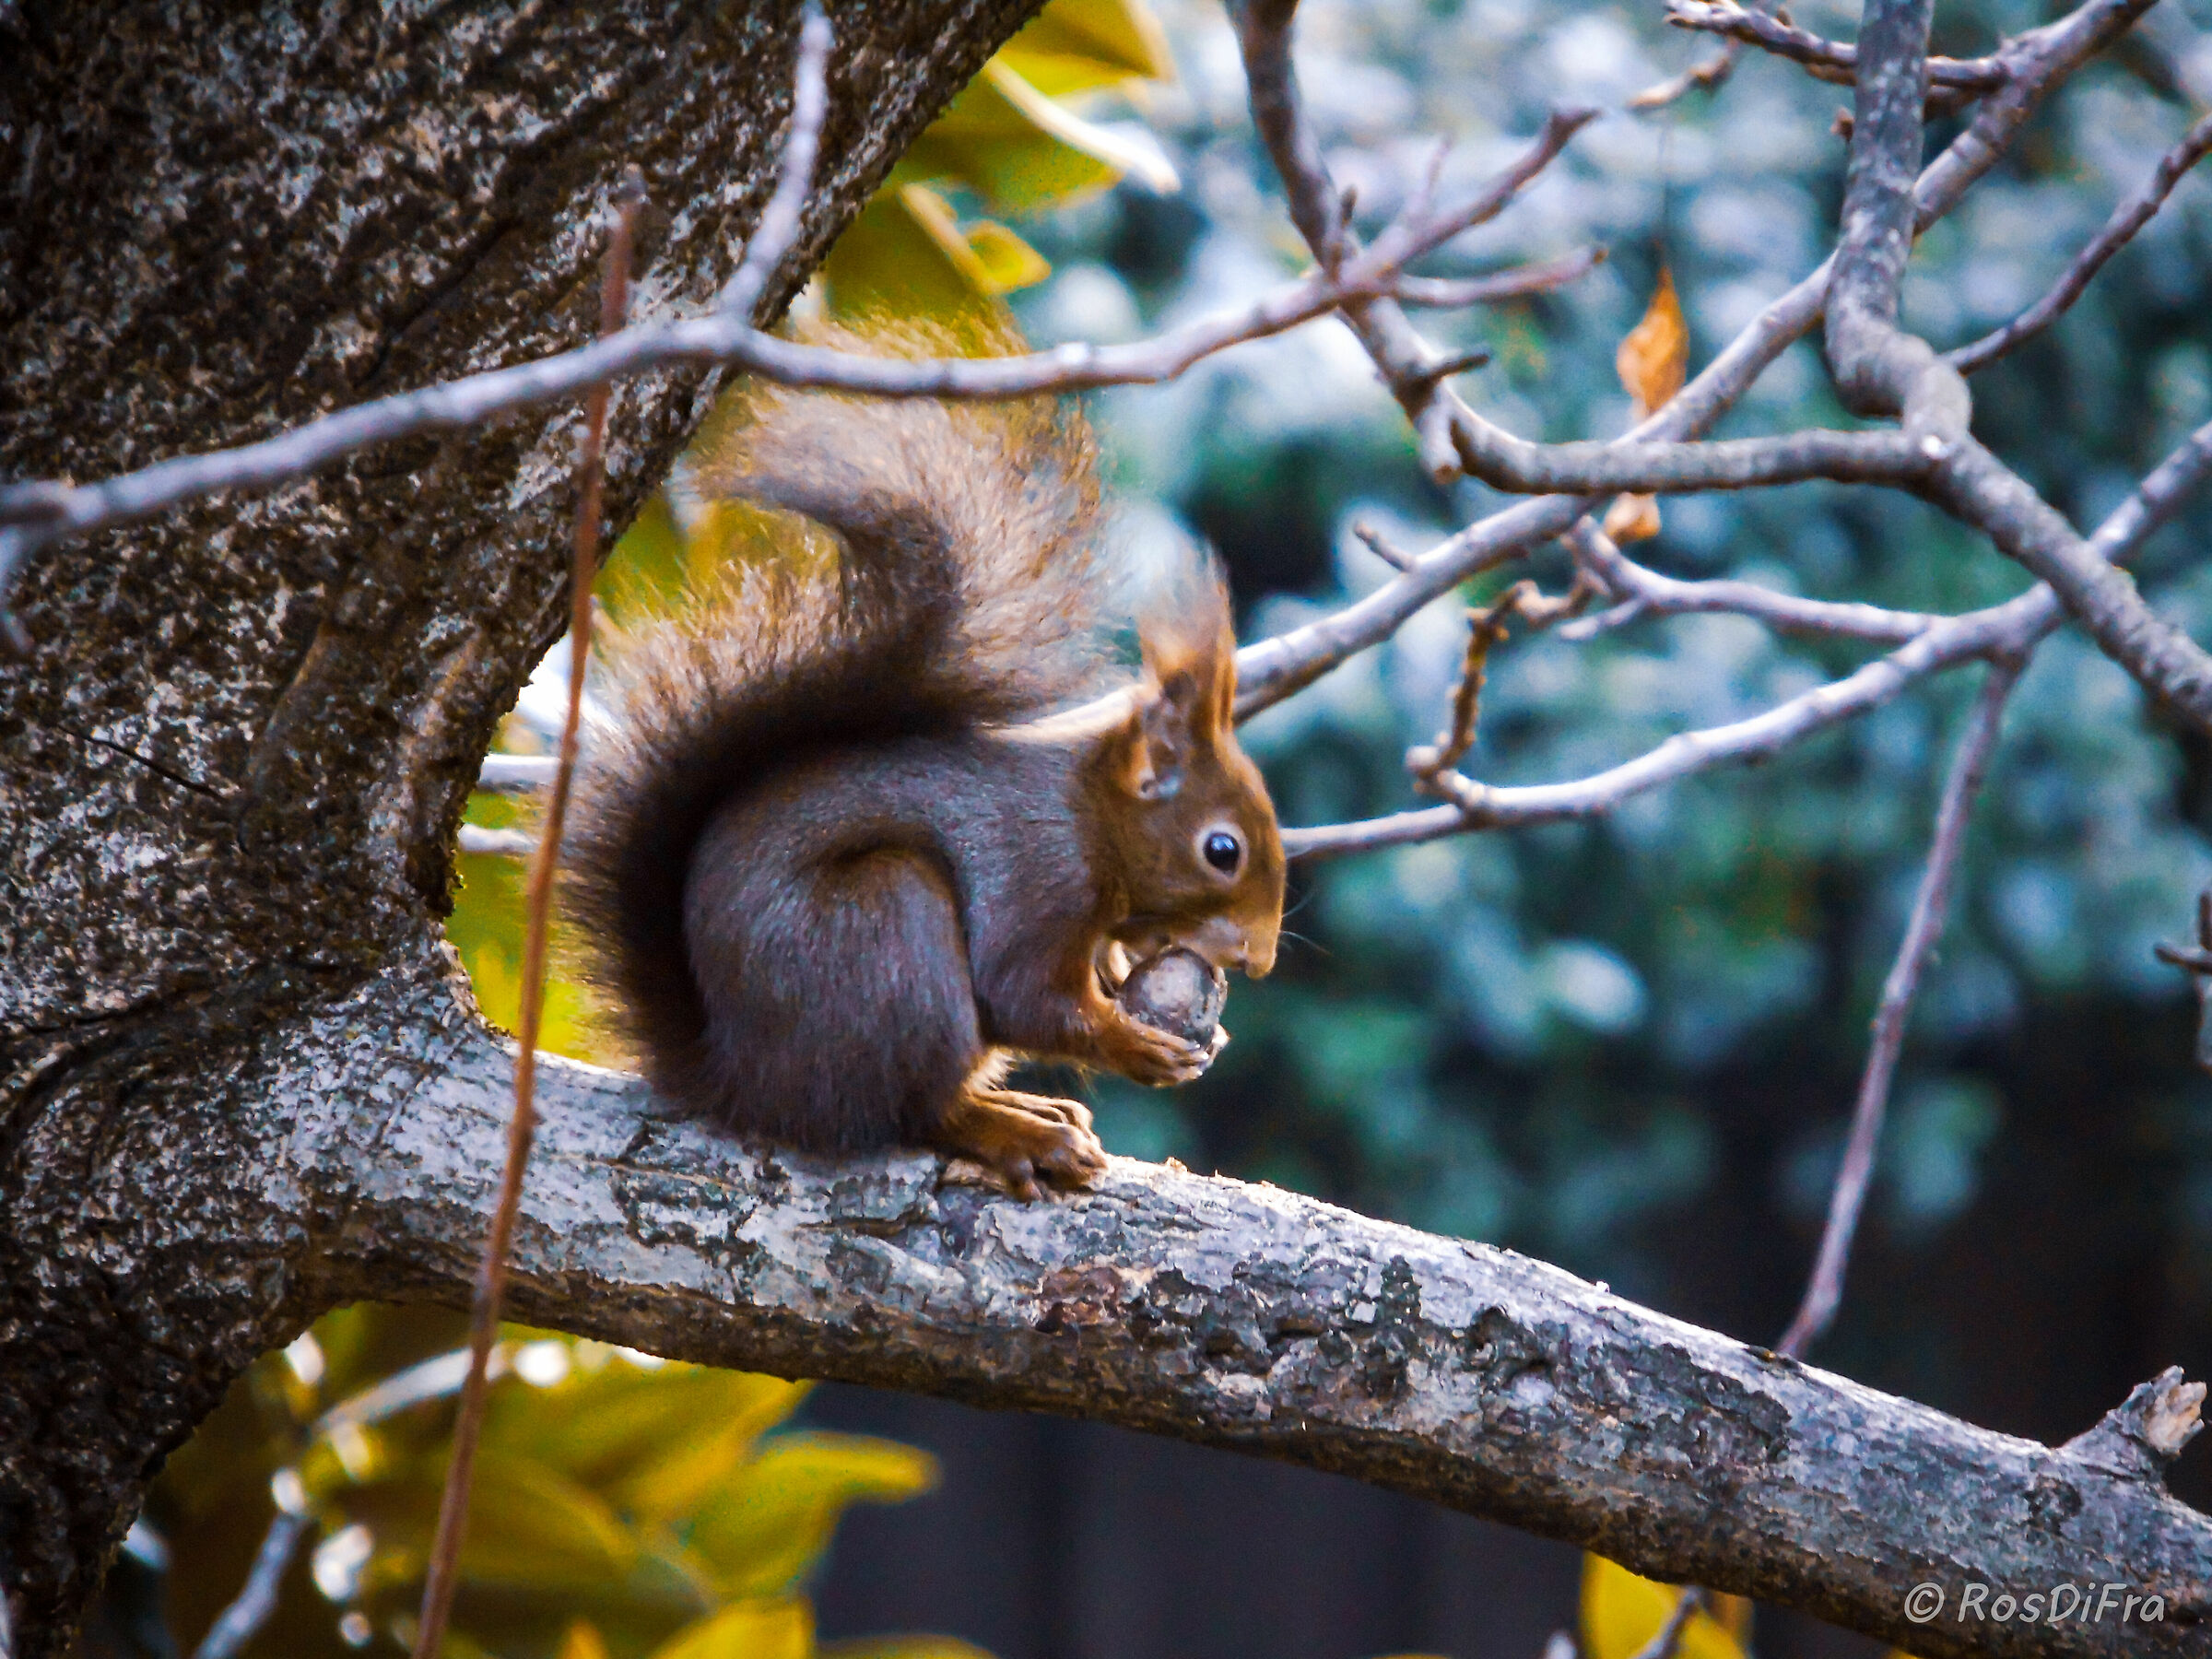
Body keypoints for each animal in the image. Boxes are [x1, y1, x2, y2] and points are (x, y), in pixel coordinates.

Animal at [564, 346, 1285, 1199]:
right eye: (1222, 850)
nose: (1261, 959)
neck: (1089, 818)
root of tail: (743, 1079)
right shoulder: (1038, 878)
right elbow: (1024, 997)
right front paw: (1137, 1045)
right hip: (888, 937)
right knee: (914, 1109)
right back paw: (1016, 1132)